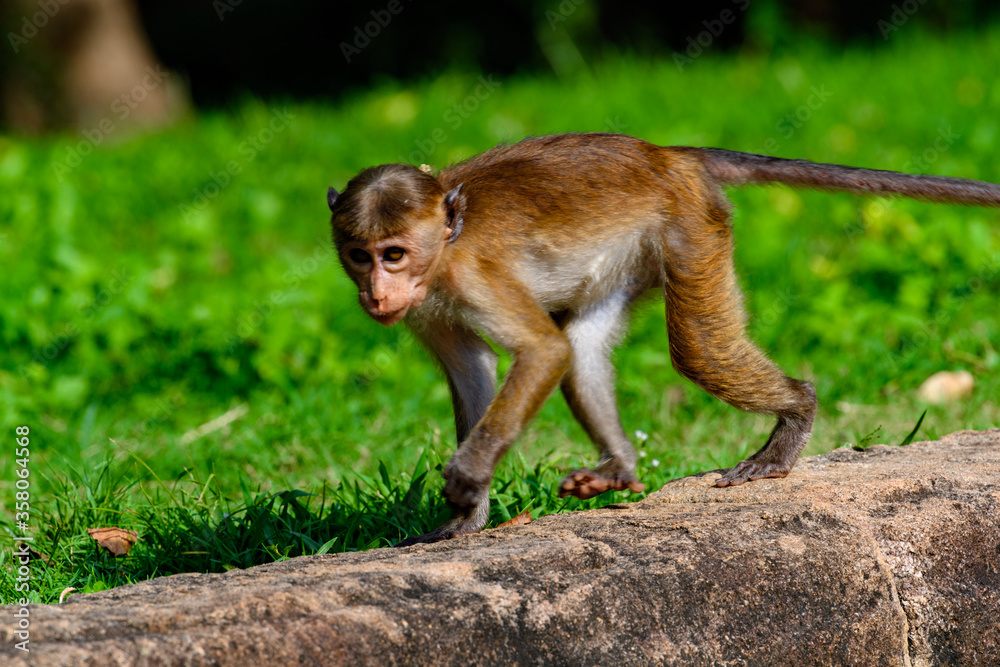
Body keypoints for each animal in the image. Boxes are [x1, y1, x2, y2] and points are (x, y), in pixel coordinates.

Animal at [328, 133, 1000, 544]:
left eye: (394, 254)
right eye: (360, 256)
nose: (376, 294)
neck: (443, 250)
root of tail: (664, 153)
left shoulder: (474, 275)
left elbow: (543, 351)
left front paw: (467, 482)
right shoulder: (425, 308)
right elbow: (476, 369)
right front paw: (468, 515)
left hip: (690, 224)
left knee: (694, 349)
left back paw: (794, 419)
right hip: (636, 252)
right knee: (587, 345)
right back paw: (620, 468)